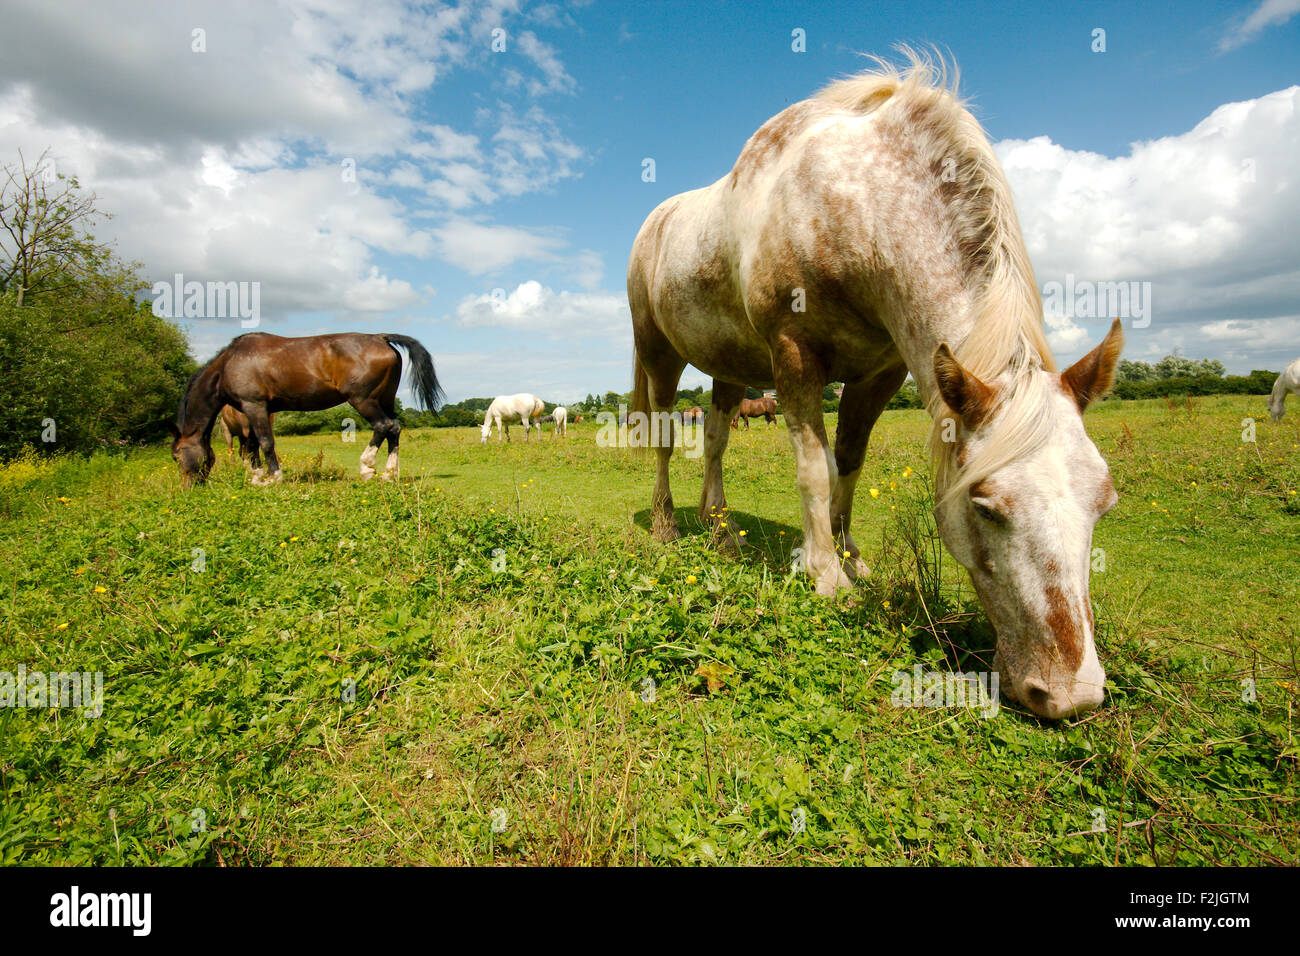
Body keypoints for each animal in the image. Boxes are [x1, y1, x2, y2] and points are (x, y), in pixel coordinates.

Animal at [169, 335, 441, 486]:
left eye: (176, 456)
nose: (187, 488)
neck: (228, 364)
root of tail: (381, 338)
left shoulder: (254, 406)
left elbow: (265, 442)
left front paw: (273, 478)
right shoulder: (254, 409)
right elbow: (252, 445)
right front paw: (256, 476)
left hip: (364, 400)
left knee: (383, 426)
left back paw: (367, 468)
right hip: (384, 399)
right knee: (394, 429)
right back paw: (388, 474)